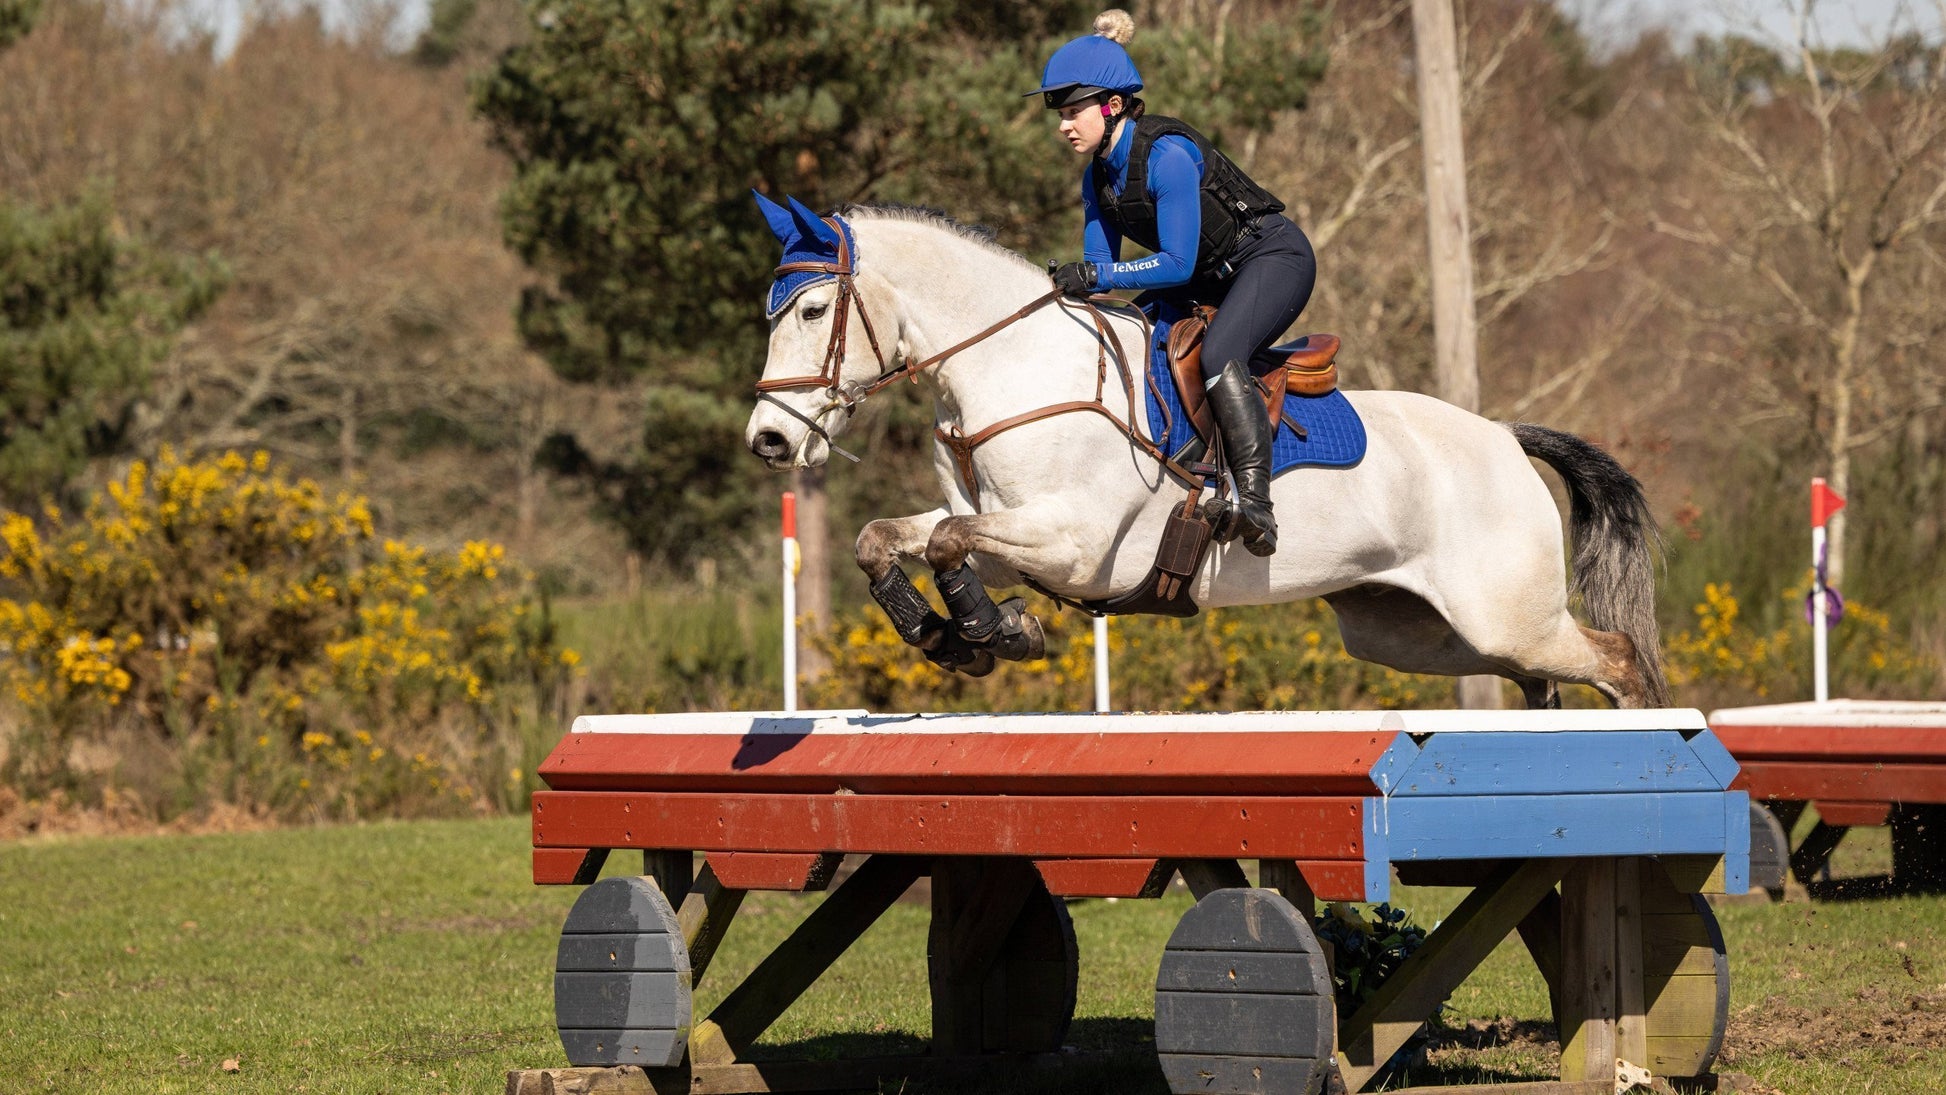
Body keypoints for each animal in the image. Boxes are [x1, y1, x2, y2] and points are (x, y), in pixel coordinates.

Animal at [743, 195, 1670, 709]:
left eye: (815, 311)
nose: (769, 438)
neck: (1013, 365)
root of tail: (1506, 437)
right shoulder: (1005, 530)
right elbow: (890, 538)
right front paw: (953, 635)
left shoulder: (1074, 543)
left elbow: (944, 543)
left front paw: (989, 631)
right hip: (1420, 631)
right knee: (1539, 678)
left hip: (1503, 613)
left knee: (1617, 660)